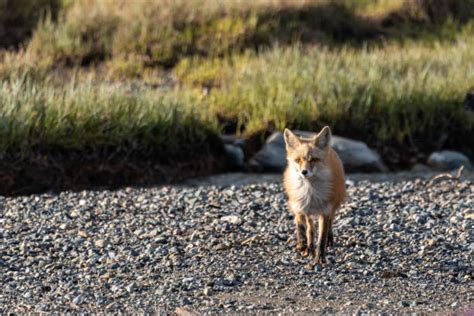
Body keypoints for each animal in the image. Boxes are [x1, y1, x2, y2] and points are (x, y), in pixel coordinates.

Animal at [284, 126, 346, 264]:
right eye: (298, 160)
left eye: (313, 159)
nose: (304, 172)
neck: (310, 194)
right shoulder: (299, 207)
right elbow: (301, 227)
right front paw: (302, 245)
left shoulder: (325, 211)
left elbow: (322, 238)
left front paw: (320, 257)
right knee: (310, 228)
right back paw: (308, 246)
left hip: (333, 206)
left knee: (329, 225)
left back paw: (327, 241)